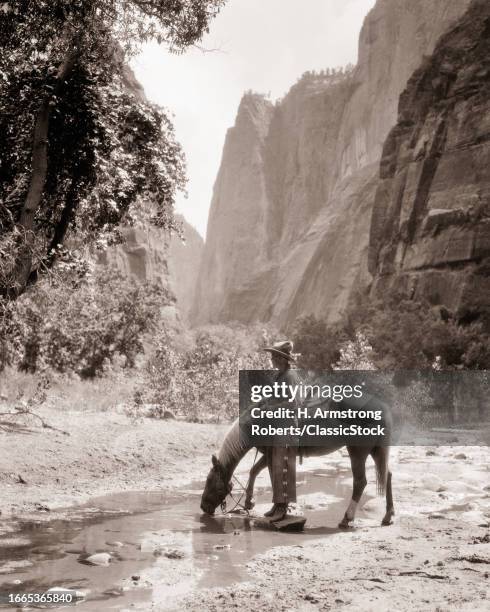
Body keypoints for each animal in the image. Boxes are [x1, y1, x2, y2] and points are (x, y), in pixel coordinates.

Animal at [199, 418, 394, 528]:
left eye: (211, 483)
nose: (203, 507)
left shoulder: (273, 453)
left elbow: (273, 477)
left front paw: (278, 510)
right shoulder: (268, 453)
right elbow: (256, 471)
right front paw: (252, 503)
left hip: (358, 452)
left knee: (360, 482)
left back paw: (347, 519)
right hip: (376, 451)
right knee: (387, 476)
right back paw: (388, 516)